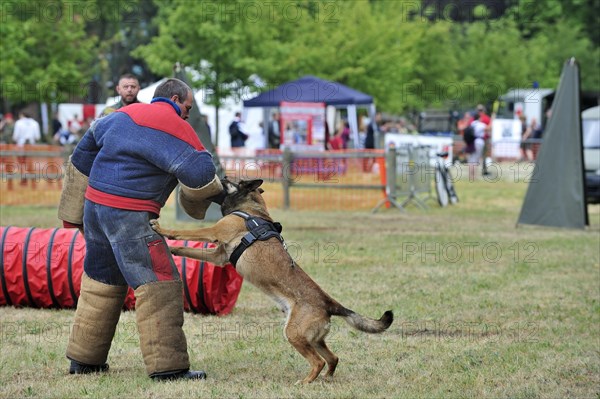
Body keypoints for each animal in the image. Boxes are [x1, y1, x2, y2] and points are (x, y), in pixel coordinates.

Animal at [150, 179, 394, 384]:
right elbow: (187, 249)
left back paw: (305, 382)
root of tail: (329, 303)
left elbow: (185, 231)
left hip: (294, 334)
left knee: (318, 361)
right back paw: (325, 378)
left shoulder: (215, 231)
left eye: (233, 180)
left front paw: (162, 229)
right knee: (333, 358)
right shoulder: (218, 256)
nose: (222, 175)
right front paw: (172, 249)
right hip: (314, 339)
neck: (251, 210)